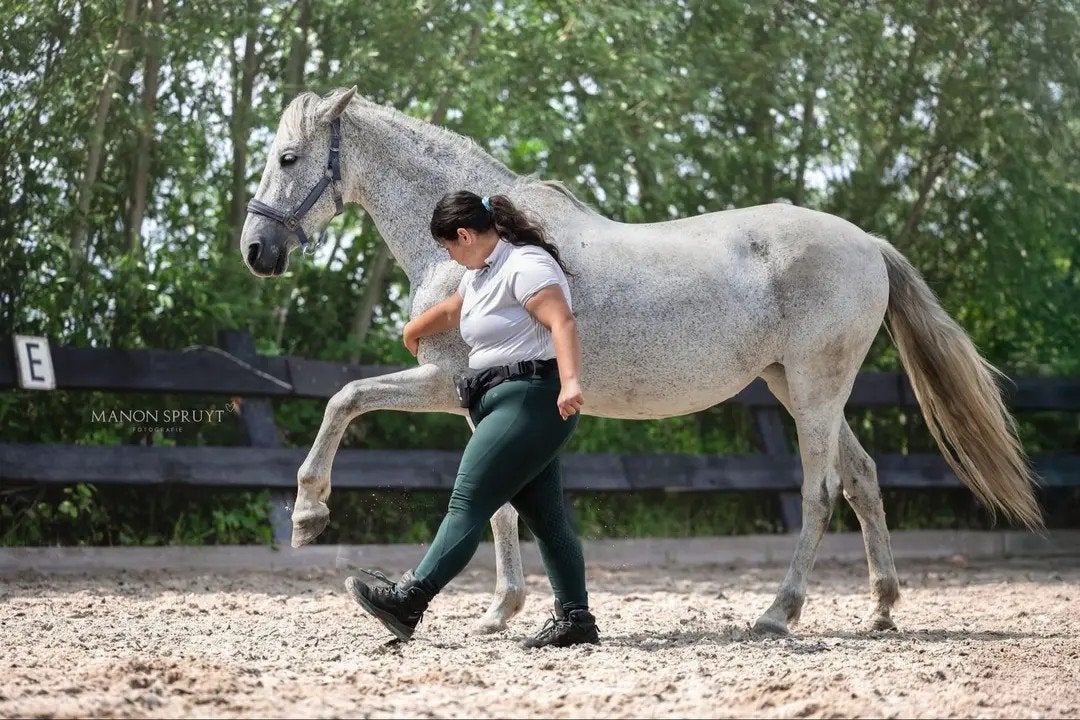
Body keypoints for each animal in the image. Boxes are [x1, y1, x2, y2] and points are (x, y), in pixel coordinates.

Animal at [239, 86, 1041, 636]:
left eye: (287, 158)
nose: (256, 251)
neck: (481, 252)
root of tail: (866, 241)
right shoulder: (475, 399)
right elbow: (499, 506)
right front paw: (499, 612)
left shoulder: (441, 382)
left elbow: (344, 398)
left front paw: (308, 514)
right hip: (799, 387)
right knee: (866, 480)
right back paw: (880, 609)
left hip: (816, 388)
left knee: (822, 491)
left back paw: (778, 614)